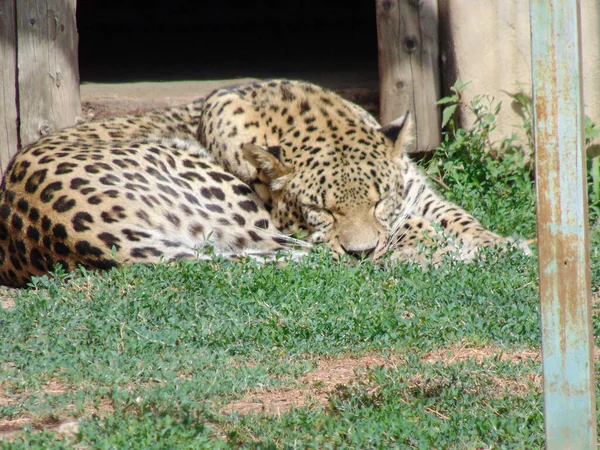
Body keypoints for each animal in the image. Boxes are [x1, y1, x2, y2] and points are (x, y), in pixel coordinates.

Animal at [0, 78, 524, 286]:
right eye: (322, 210)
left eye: (378, 200)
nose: (360, 253)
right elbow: (409, 230)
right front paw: (428, 246)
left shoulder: (418, 191)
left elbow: (458, 216)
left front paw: (499, 243)